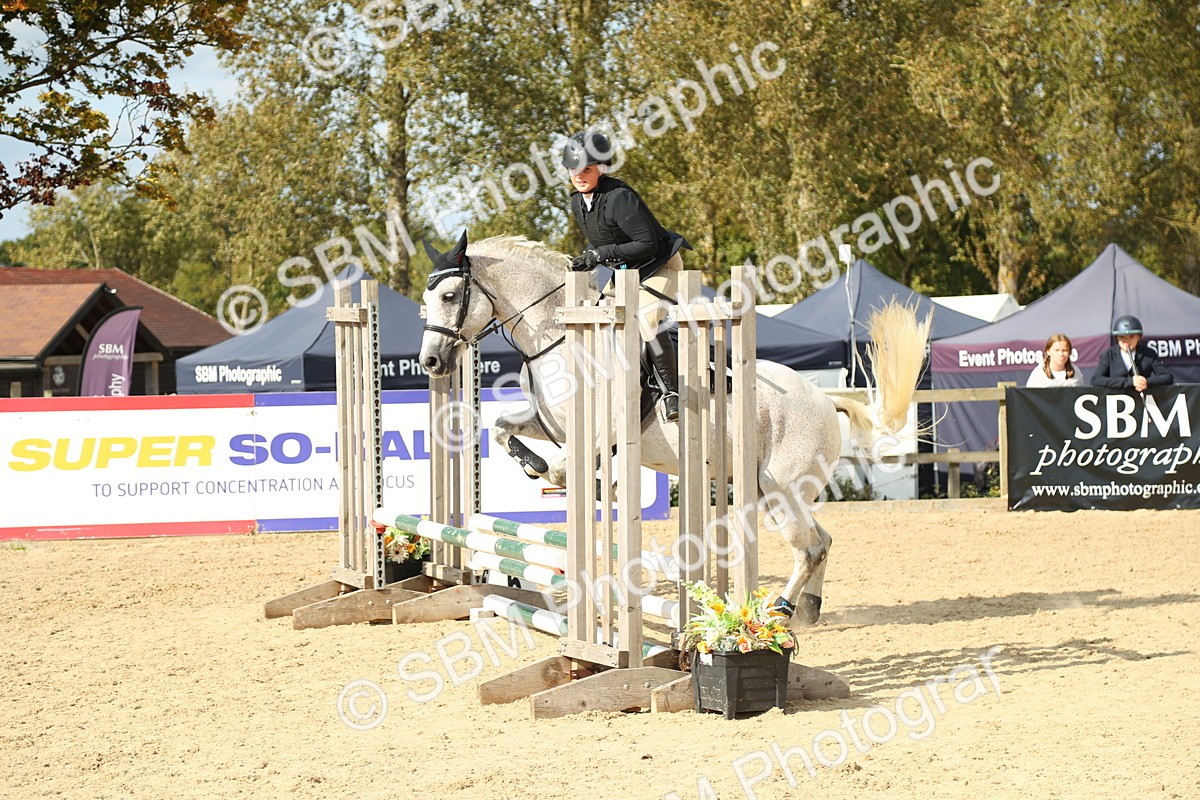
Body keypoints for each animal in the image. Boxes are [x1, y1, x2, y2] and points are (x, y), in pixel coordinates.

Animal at [418, 231, 928, 627]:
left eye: (449, 297)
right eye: (426, 300)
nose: (431, 362)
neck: (558, 335)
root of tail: (825, 399)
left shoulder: (601, 432)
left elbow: (565, 469)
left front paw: (599, 486)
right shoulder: (549, 423)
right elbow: (503, 429)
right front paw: (534, 464)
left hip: (782, 487)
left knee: (808, 548)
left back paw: (780, 611)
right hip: (773, 490)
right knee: (821, 541)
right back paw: (808, 610)